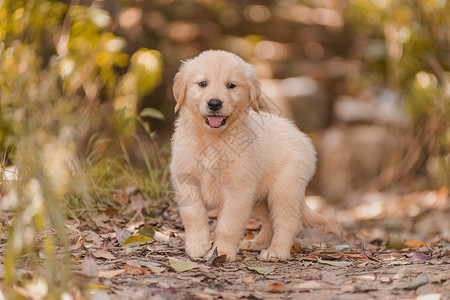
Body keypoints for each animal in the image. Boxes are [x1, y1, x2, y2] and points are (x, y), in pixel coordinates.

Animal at [171, 50, 326, 262]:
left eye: (231, 85)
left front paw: (222, 252)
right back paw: (256, 244)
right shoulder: (187, 180)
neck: (213, 139)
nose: (214, 104)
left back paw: (276, 251)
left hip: (284, 190)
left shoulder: (238, 189)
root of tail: (301, 135)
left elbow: (228, 225)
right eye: (202, 83)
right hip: (259, 197)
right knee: (269, 222)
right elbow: (193, 215)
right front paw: (197, 246)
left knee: (288, 221)